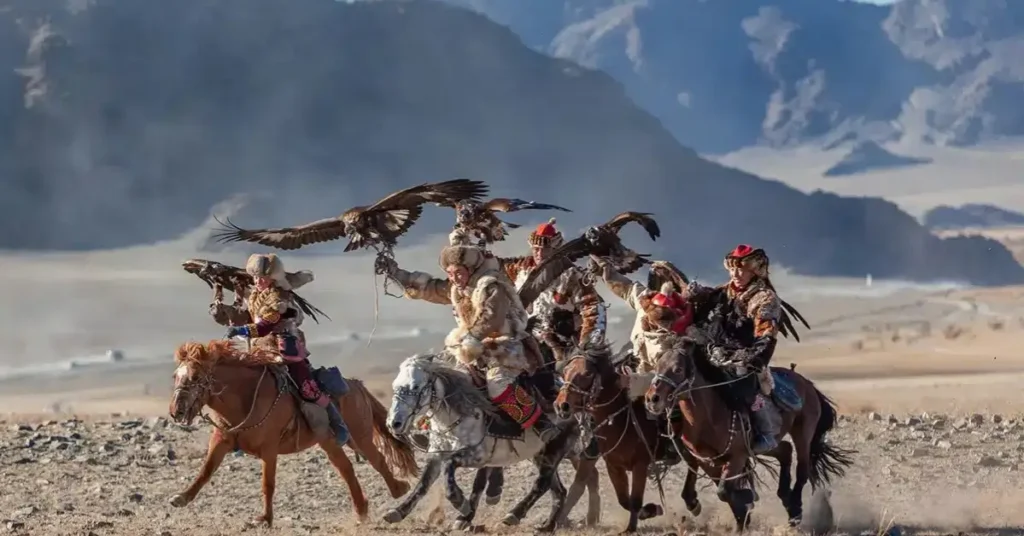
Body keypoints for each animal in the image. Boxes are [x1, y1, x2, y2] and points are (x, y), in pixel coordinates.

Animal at [168, 340, 418, 528]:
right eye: (175, 376)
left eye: (196, 377)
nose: (175, 411)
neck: (245, 397)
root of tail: (357, 386)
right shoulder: (220, 441)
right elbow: (205, 471)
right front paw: (180, 498)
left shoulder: (269, 450)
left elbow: (267, 484)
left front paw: (265, 519)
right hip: (330, 442)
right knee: (346, 469)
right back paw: (362, 511)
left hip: (360, 436)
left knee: (377, 460)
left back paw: (398, 491)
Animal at [382, 353, 584, 533]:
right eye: (395, 385)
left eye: (416, 386)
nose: (394, 423)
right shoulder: (437, 455)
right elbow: (422, 484)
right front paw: (397, 512)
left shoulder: (475, 456)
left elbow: (450, 469)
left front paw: (461, 504)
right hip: (538, 453)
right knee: (558, 491)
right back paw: (547, 526)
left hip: (555, 448)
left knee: (542, 484)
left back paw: (514, 515)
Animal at [553, 341, 684, 533]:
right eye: (565, 371)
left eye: (587, 373)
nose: (562, 406)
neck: (621, 419)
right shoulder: (614, 465)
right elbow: (623, 499)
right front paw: (649, 510)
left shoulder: (640, 465)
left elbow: (635, 499)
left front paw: (633, 525)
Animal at [644, 336, 855, 530]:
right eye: (658, 366)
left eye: (678, 369)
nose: (652, 399)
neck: (710, 417)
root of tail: (807, 383)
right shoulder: (706, 460)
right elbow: (720, 490)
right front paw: (741, 517)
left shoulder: (737, 456)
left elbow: (724, 491)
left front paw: (746, 502)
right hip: (766, 444)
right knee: (785, 450)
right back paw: (785, 498)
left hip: (803, 431)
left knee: (802, 469)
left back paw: (795, 509)